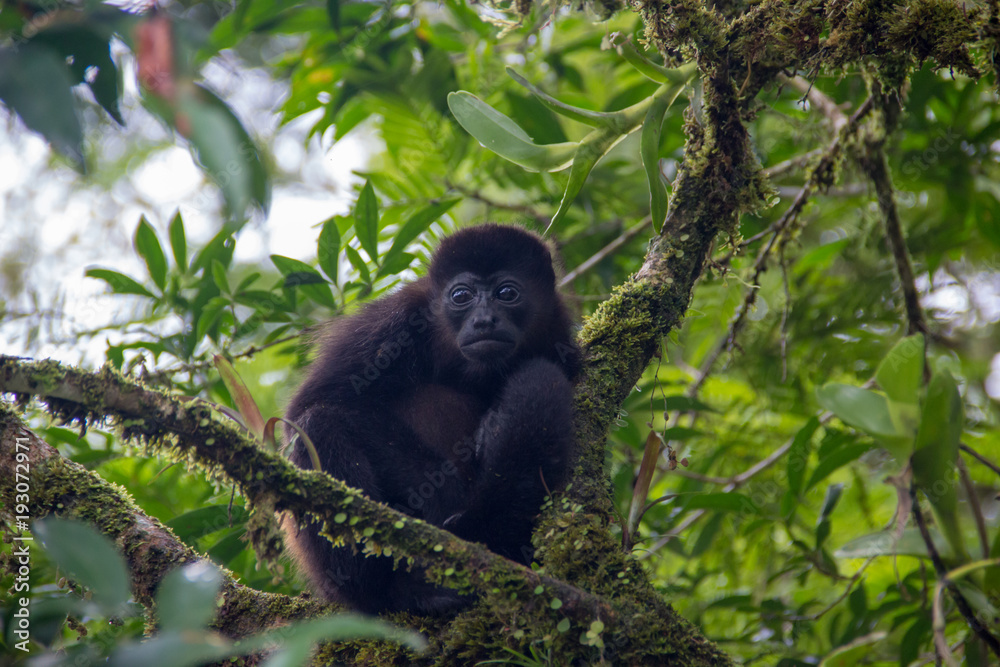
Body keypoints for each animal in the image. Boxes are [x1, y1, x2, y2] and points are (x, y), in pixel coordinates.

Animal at [283, 223, 580, 615]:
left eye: (507, 293)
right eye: (461, 296)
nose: (483, 320)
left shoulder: (558, 329)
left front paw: (492, 424)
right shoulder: (393, 322)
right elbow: (311, 406)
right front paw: (442, 489)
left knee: (542, 381)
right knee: (316, 425)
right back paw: (387, 590)